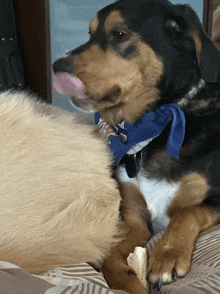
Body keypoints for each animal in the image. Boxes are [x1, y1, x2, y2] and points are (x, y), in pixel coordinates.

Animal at [52, 0, 220, 290]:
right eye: (89, 33)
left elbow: (188, 211)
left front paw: (168, 254)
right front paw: (129, 281)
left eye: (118, 34)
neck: (157, 125)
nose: (56, 66)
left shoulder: (217, 198)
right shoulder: (134, 216)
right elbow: (110, 257)